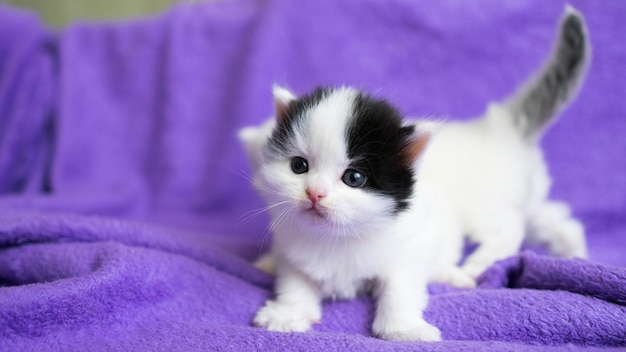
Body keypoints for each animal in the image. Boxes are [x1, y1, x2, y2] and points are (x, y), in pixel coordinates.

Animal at [236, 6, 588, 340]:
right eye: (299, 166)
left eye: (354, 178)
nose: (314, 193)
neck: (339, 237)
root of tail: (497, 127)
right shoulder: (293, 254)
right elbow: (294, 283)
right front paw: (288, 314)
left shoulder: (409, 251)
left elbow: (400, 290)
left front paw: (404, 329)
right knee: (555, 217)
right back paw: (574, 251)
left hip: (487, 205)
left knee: (509, 229)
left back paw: (473, 267)